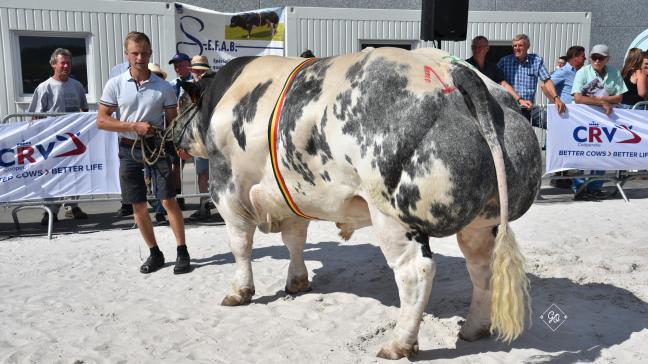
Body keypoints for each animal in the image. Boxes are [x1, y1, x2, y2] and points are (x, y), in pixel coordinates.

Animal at [172, 47, 540, 358]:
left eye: (184, 100)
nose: (173, 131)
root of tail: (450, 70)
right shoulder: (291, 192)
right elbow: (294, 240)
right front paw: (297, 282)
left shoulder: (228, 190)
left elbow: (240, 245)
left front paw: (239, 292)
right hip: (483, 219)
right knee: (481, 266)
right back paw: (474, 328)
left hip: (392, 215)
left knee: (415, 271)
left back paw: (398, 344)